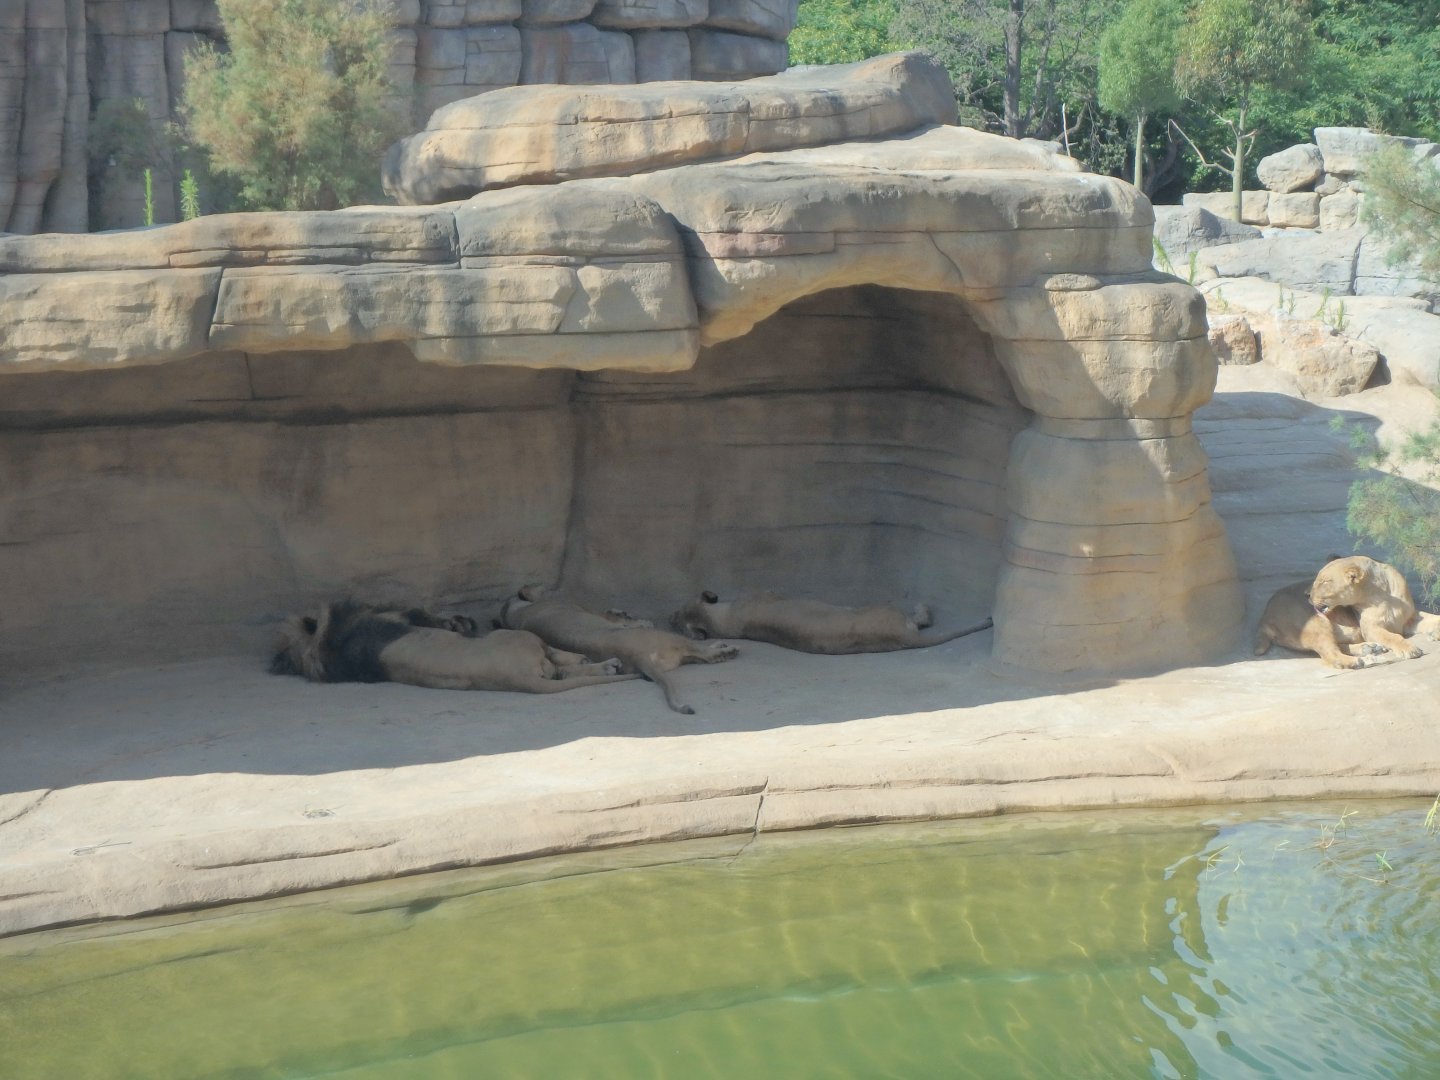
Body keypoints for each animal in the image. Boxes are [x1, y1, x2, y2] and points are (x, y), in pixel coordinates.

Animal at [270, 600, 640, 694]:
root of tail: (515, 677)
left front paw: (459, 622)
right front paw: (457, 622)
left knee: (562, 672)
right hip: (522, 638)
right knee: (561, 659)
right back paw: (604, 663)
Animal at [499, 588, 738, 715]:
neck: (516, 614)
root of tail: (637, 657)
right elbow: (617, 617)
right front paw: (635, 618)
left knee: (698, 655)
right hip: (668, 638)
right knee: (701, 651)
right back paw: (726, 649)